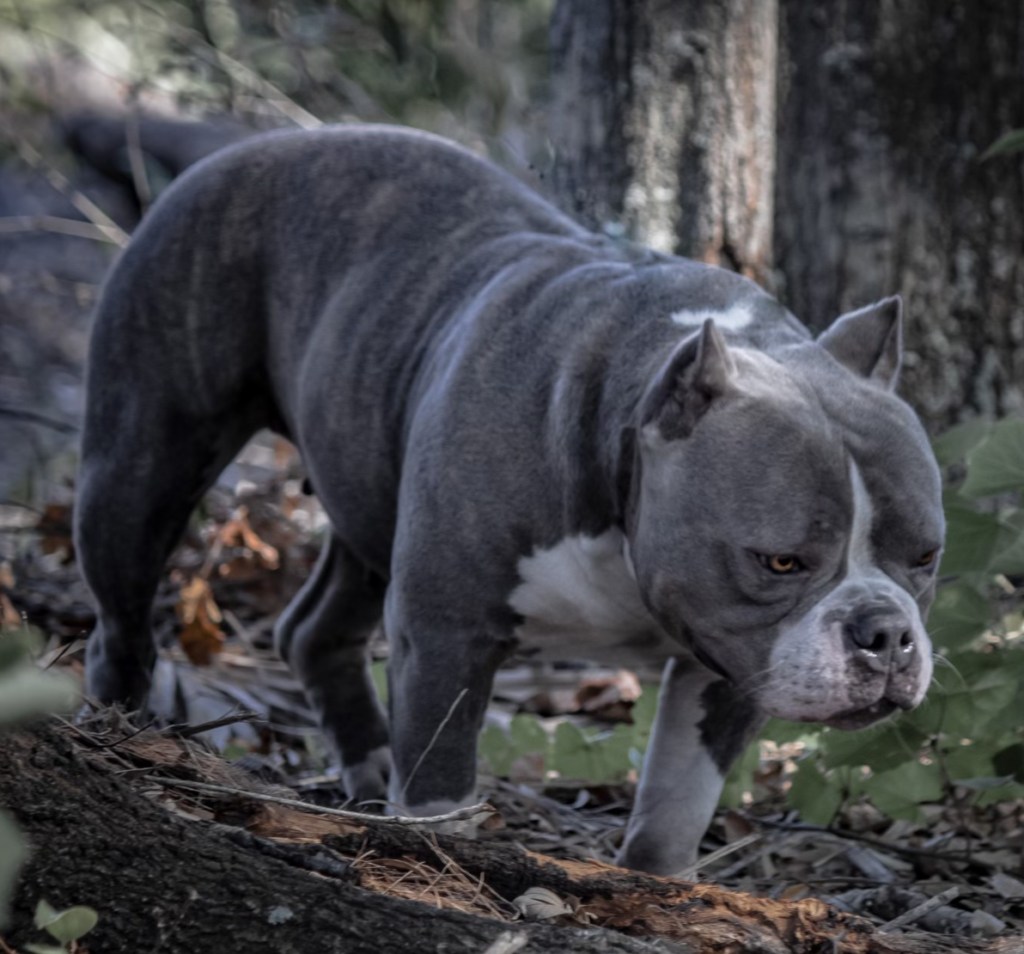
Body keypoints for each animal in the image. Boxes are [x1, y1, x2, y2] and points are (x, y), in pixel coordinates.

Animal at [76, 125, 944, 875]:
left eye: (927, 558)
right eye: (781, 561)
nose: (886, 635)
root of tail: (260, 143)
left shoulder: (731, 659)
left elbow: (679, 797)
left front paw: (658, 887)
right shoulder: (445, 626)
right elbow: (442, 779)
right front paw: (440, 859)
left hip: (369, 490)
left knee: (314, 629)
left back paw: (366, 766)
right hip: (142, 460)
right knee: (121, 617)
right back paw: (123, 737)